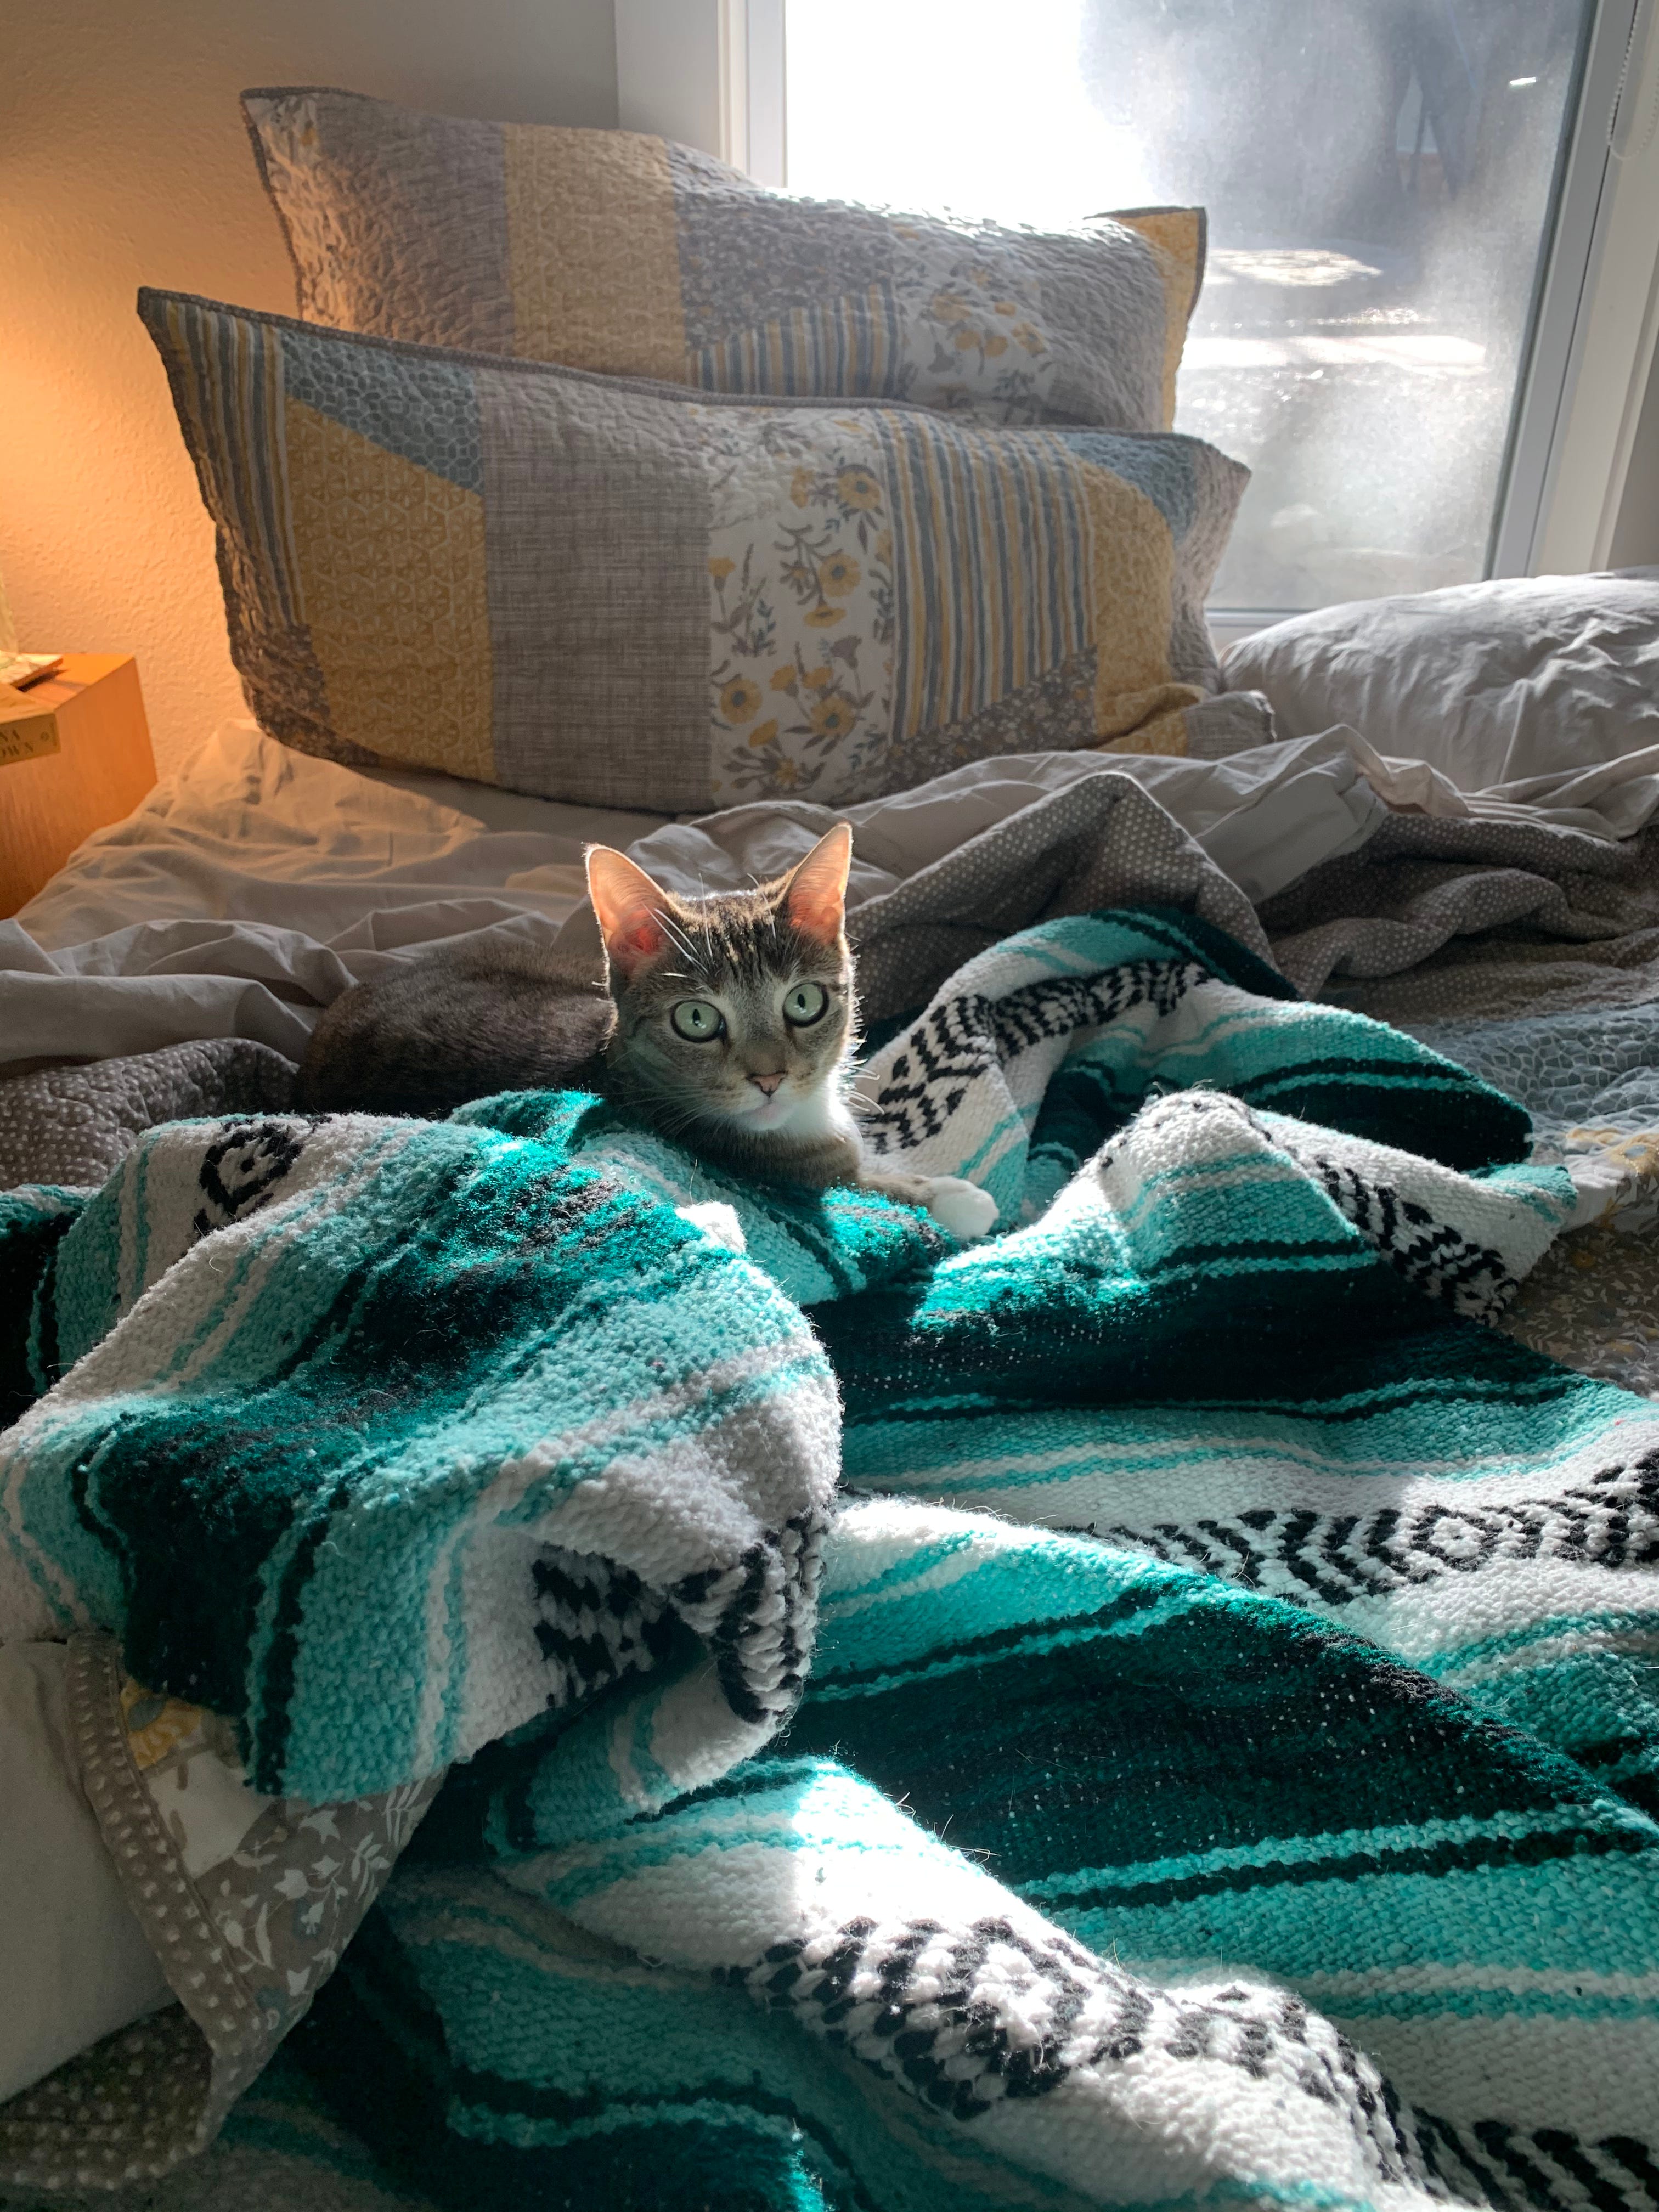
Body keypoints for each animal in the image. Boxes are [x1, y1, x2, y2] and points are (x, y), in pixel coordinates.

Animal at [295, 822, 997, 1241]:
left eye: (803, 1001)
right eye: (696, 1019)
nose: (769, 1078)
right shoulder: (788, 1170)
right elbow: (862, 1181)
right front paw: (952, 1197)